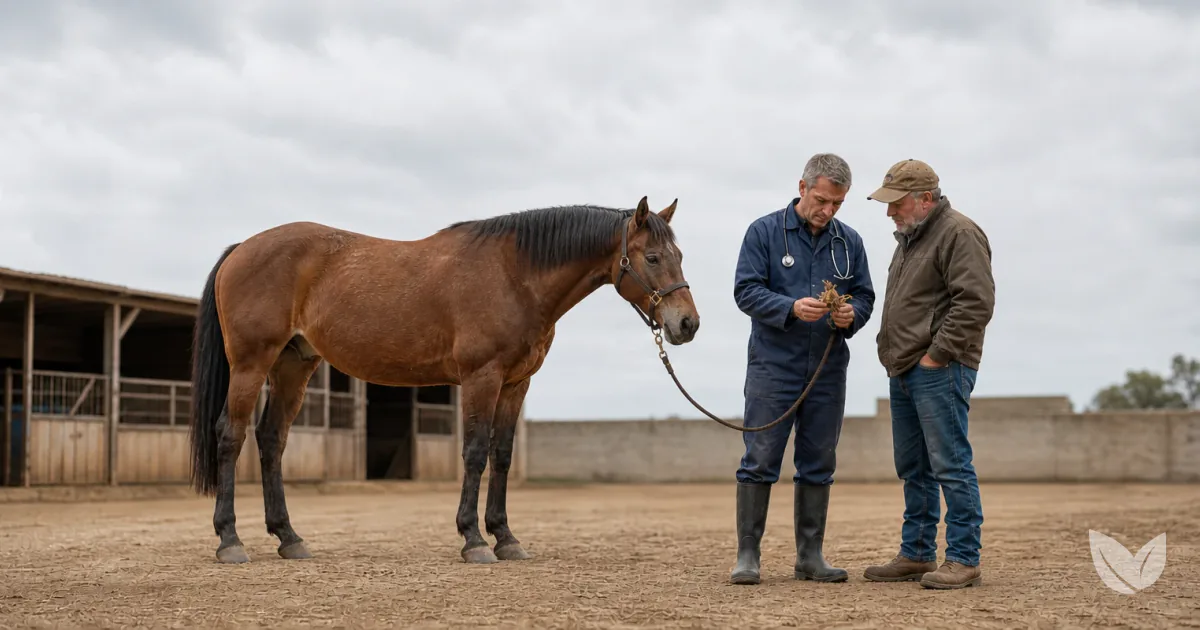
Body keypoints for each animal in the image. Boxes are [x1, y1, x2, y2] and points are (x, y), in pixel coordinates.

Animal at [188, 196, 699, 565]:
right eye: (653, 257)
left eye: (679, 254)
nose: (687, 324)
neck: (514, 274)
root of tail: (241, 249)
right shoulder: (481, 378)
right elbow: (474, 453)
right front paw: (474, 540)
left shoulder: (515, 384)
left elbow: (502, 455)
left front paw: (506, 537)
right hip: (251, 364)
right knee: (231, 437)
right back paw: (230, 541)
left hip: (294, 365)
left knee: (271, 440)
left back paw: (289, 538)